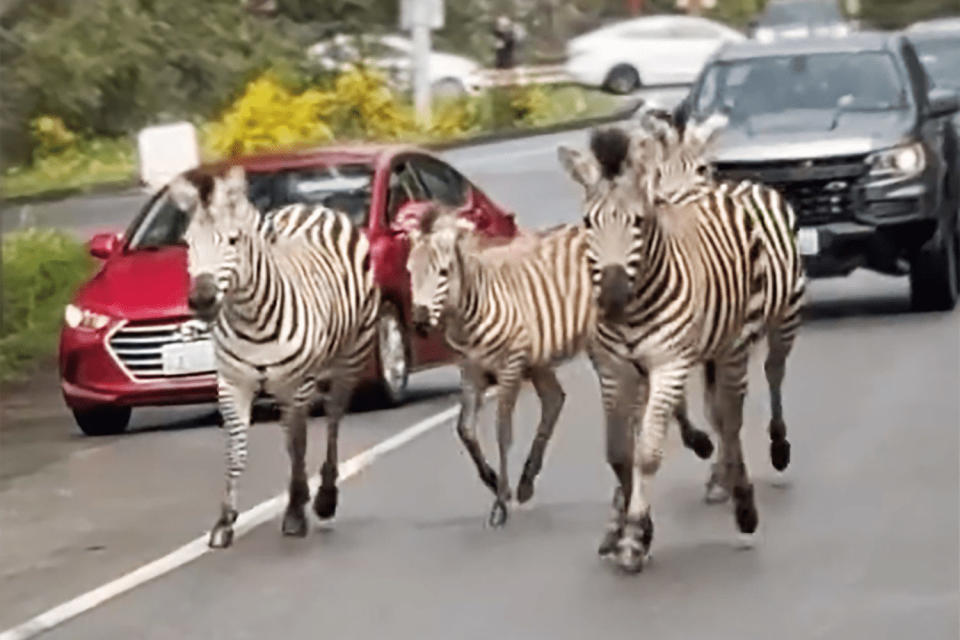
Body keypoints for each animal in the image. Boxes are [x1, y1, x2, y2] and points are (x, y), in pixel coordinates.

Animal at [165, 166, 378, 552]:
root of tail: (312, 207)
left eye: (233, 241)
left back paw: (324, 497)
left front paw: (294, 513)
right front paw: (225, 521)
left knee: (333, 420)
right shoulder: (232, 383)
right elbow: (237, 450)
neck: (252, 318)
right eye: (188, 242)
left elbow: (299, 443)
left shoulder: (298, 383)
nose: (202, 300)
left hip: (349, 359)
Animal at [404, 204, 712, 524]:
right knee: (557, 399)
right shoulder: (471, 371)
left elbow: (503, 431)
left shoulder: (510, 366)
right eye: (410, 273)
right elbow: (465, 430)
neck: (472, 307)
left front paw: (500, 500)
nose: (420, 321)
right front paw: (493, 481)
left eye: (443, 272)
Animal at [556, 122, 804, 572]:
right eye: (587, 222)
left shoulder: (670, 362)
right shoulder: (615, 369)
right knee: (720, 413)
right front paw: (625, 526)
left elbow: (648, 452)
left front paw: (636, 535)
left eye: (638, 222)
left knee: (752, 397)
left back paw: (756, 484)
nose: (612, 298)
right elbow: (620, 452)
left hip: (764, 330)